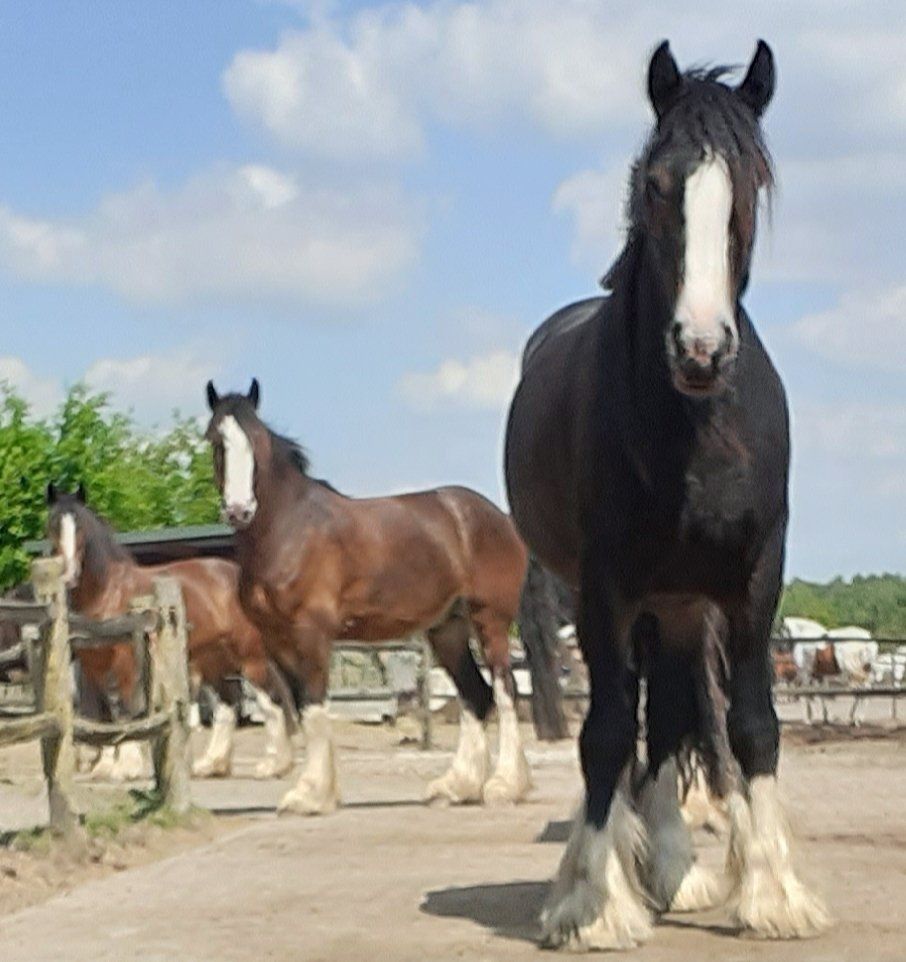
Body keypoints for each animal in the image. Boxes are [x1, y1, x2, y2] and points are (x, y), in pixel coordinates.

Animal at [45, 484, 298, 781]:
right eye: (52, 526)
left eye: (81, 528)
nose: (69, 576)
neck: (108, 593)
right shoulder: (92, 666)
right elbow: (102, 713)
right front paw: (105, 766)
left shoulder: (126, 664)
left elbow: (126, 711)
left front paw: (127, 766)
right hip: (215, 660)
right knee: (227, 706)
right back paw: (212, 764)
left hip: (250, 657)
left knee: (270, 702)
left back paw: (273, 765)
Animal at [203, 378, 531, 815]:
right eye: (215, 440)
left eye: (256, 440)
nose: (239, 510)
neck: (288, 530)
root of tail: (497, 517)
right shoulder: (276, 640)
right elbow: (299, 708)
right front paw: (317, 789)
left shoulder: (311, 635)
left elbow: (313, 706)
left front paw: (311, 794)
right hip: (447, 628)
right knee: (475, 695)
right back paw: (456, 787)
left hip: (489, 620)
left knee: (505, 691)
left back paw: (504, 786)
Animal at [504, 40, 830, 948]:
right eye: (657, 183)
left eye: (751, 184)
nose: (700, 347)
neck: (696, 430)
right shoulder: (606, 585)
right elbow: (606, 731)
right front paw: (591, 901)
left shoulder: (754, 580)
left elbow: (748, 723)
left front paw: (775, 894)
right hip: (636, 601)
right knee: (628, 725)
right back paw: (625, 864)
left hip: (680, 607)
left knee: (672, 717)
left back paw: (679, 867)